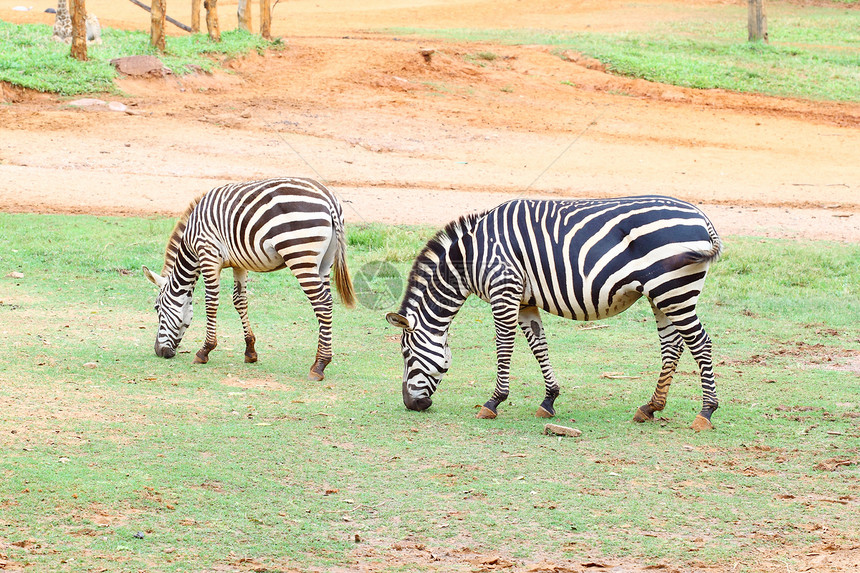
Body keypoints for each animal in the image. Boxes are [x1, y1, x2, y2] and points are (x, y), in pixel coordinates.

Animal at [144, 175, 356, 380]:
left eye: (157, 308)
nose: (159, 352)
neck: (191, 244)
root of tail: (328, 198)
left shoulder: (208, 255)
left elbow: (211, 302)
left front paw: (204, 351)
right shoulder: (239, 263)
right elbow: (240, 301)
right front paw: (250, 351)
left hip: (299, 254)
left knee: (322, 303)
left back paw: (319, 365)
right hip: (324, 262)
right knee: (328, 302)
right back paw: (322, 359)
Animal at [386, 196, 724, 428]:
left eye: (405, 354)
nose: (410, 405)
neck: (472, 258)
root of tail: (702, 217)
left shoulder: (504, 290)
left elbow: (504, 346)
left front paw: (494, 402)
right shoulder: (525, 300)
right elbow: (539, 346)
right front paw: (549, 399)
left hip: (673, 290)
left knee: (700, 343)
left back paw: (706, 412)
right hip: (663, 295)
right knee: (673, 346)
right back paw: (650, 407)